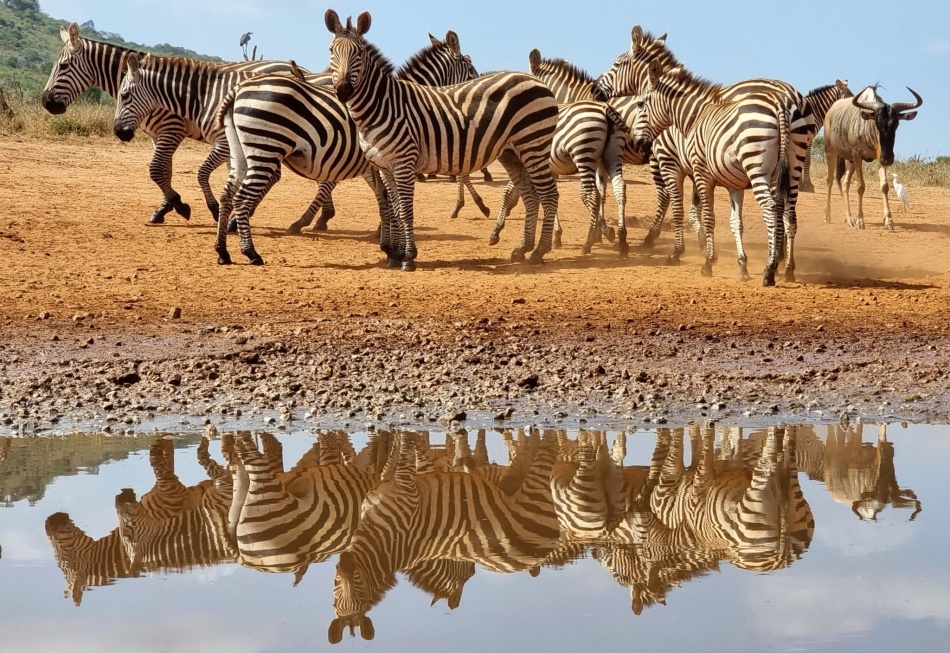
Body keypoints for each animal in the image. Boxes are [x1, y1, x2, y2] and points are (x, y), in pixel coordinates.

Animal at [326, 10, 560, 270]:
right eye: (331, 50)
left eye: (359, 52)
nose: (343, 90)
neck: (382, 105)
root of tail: (536, 81)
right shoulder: (385, 167)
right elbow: (394, 209)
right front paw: (394, 253)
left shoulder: (403, 162)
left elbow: (404, 210)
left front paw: (407, 256)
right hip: (512, 152)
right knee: (530, 195)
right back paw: (522, 249)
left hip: (533, 145)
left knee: (549, 195)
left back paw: (539, 251)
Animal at [328, 430, 560, 643]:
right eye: (336, 594)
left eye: (360, 591)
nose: (345, 563)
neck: (382, 543)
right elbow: (392, 459)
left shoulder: (406, 489)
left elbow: (404, 448)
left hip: (533, 490)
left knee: (546, 450)